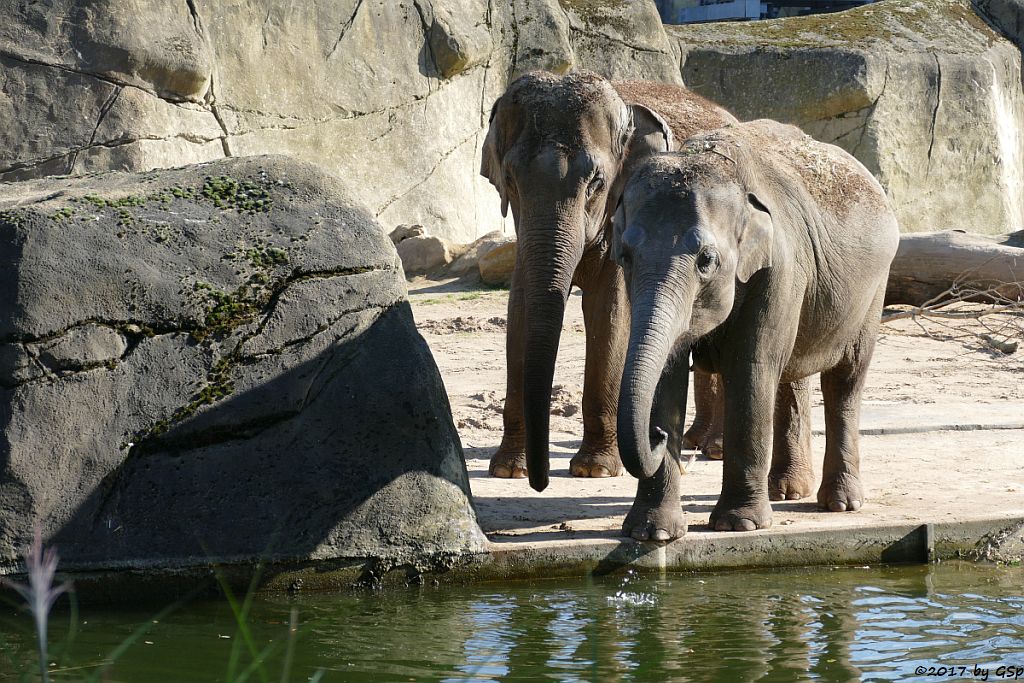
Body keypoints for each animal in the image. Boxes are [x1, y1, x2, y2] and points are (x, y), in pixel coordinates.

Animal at [479, 72, 737, 491]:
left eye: (596, 183)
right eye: (512, 181)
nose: (540, 482)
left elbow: (611, 313)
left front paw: (595, 469)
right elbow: (519, 307)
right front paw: (508, 469)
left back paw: (713, 449)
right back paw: (695, 442)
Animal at [610, 120, 901, 540]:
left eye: (706, 260)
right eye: (625, 255)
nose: (659, 436)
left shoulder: (778, 268)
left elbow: (751, 370)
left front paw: (739, 525)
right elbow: (666, 377)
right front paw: (653, 533)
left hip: (873, 291)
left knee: (844, 380)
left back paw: (840, 504)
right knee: (792, 375)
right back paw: (786, 492)